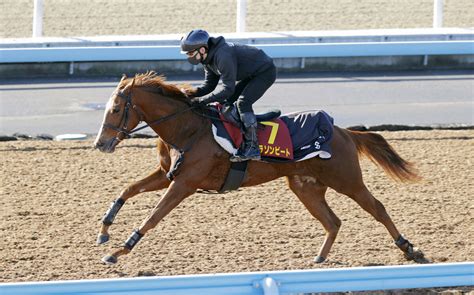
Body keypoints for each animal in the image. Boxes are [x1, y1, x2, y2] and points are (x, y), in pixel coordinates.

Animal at [94, 71, 424, 266]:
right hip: (305, 187)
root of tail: (344, 131)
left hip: (347, 180)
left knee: (377, 208)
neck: (187, 128)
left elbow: (153, 217)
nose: (101, 143)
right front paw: (104, 231)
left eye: (116, 109)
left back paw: (409, 248)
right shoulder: (167, 175)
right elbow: (127, 190)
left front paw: (119, 250)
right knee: (333, 222)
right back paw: (318, 258)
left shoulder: (184, 183)